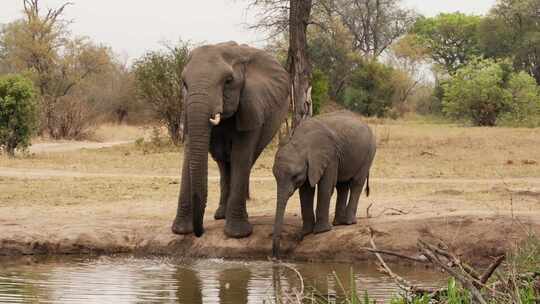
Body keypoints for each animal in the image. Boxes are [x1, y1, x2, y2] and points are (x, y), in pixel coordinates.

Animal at [173, 41, 292, 239]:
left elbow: (241, 155)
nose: (200, 233)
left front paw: (238, 234)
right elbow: (189, 155)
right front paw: (181, 230)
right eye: (184, 83)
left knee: (246, 160)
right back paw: (221, 215)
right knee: (223, 164)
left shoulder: (252, 103)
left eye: (228, 81)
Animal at [274, 110, 376, 255]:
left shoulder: (330, 156)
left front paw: (321, 232)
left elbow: (325, 186)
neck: (301, 141)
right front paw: (306, 232)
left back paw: (349, 223)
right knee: (342, 186)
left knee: (356, 183)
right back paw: (338, 223)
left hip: (368, 153)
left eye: (295, 176)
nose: (275, 255)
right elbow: (306, 191)